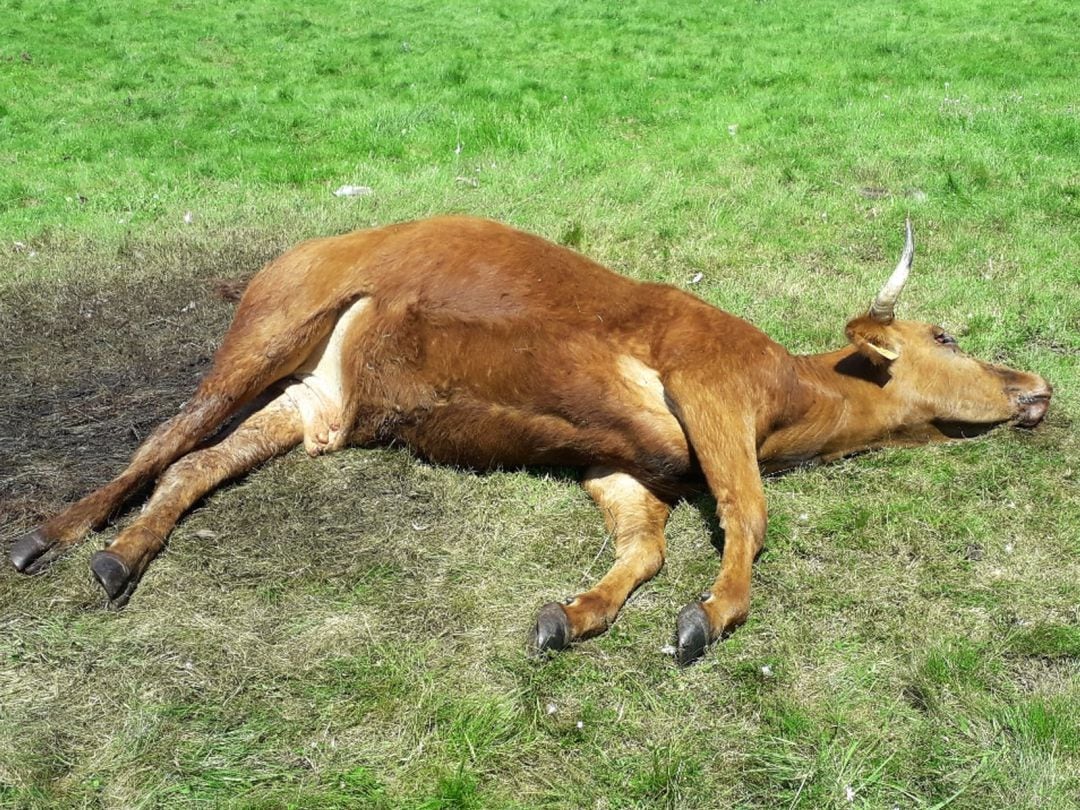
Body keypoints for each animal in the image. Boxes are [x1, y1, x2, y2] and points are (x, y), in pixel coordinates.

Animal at [8, 217, 1049, 665]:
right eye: (947, 334)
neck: (792, 393)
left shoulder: (624, 465)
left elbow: (646, 540)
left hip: (307, 403)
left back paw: (123, 555)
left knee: (197, 462)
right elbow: (747, 510)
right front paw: (710, 615)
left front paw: (576, 614)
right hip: (266, 332)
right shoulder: (707, 390)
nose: (1038, 386)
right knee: (166, 437)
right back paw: (54, 532)